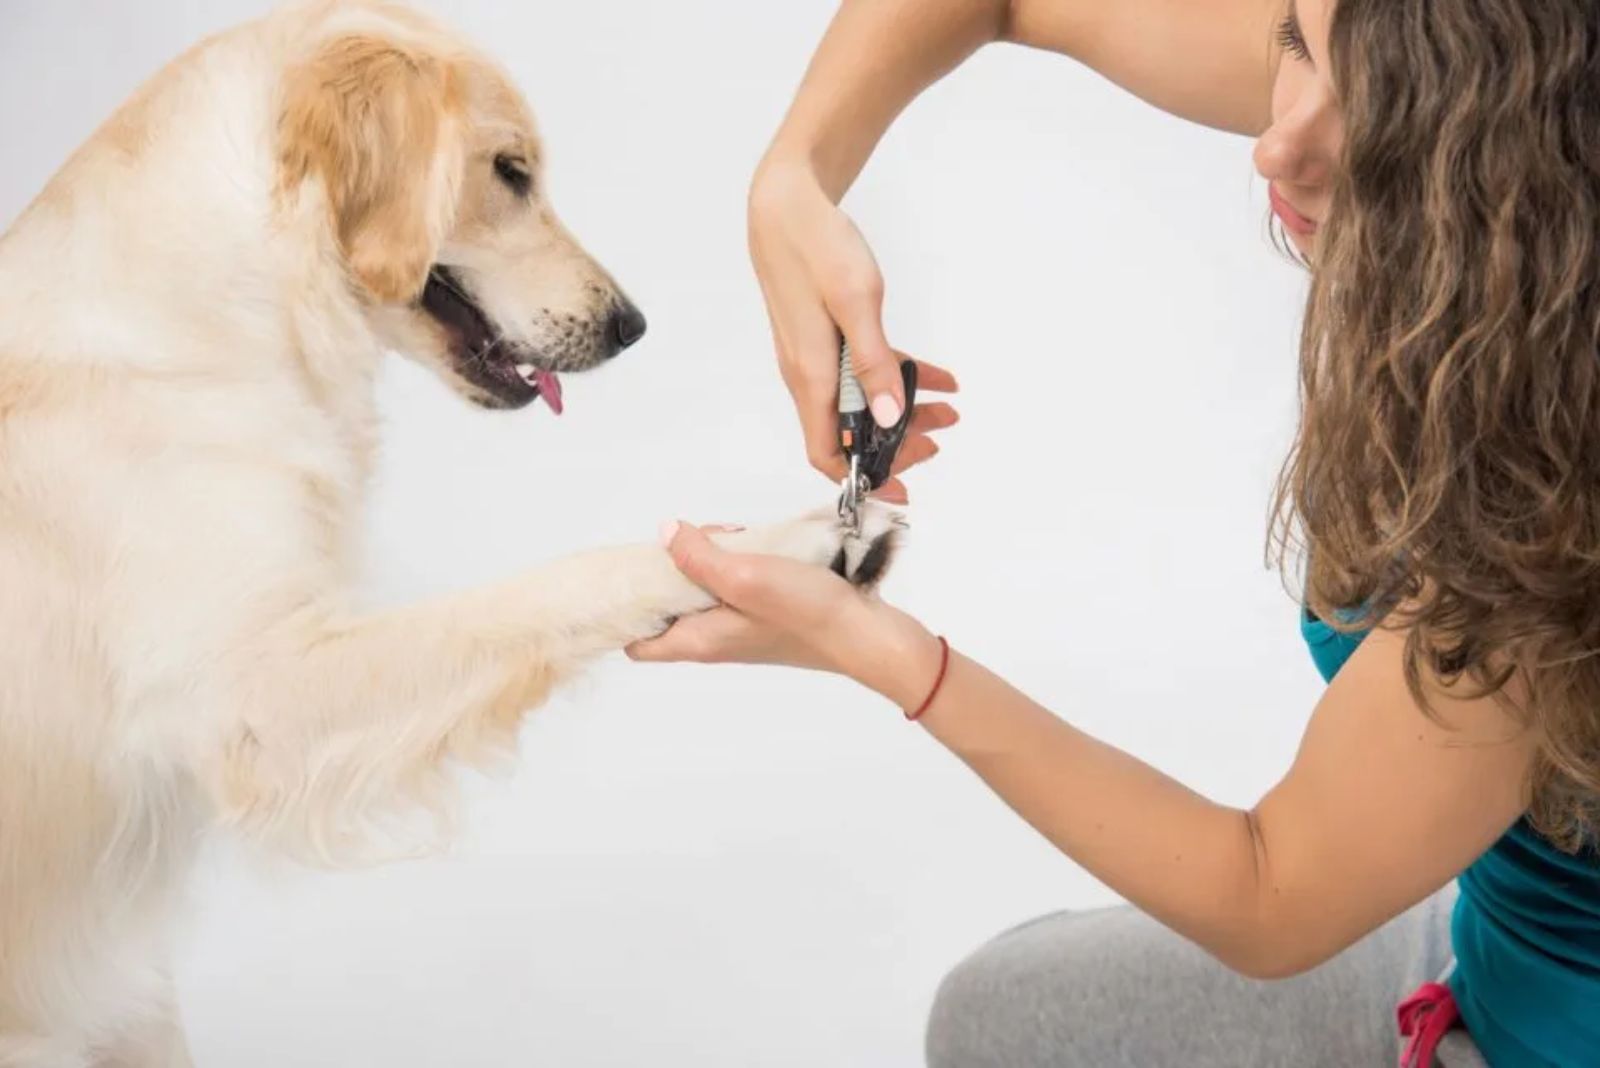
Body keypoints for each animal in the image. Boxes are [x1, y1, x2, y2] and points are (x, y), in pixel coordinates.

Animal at [0, 4, 896, 1061]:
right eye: (510, 171)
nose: (631, 325)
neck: (206, 303)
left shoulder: (130, 993)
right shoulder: (255, 697)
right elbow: (553, 586)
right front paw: (779, 546)